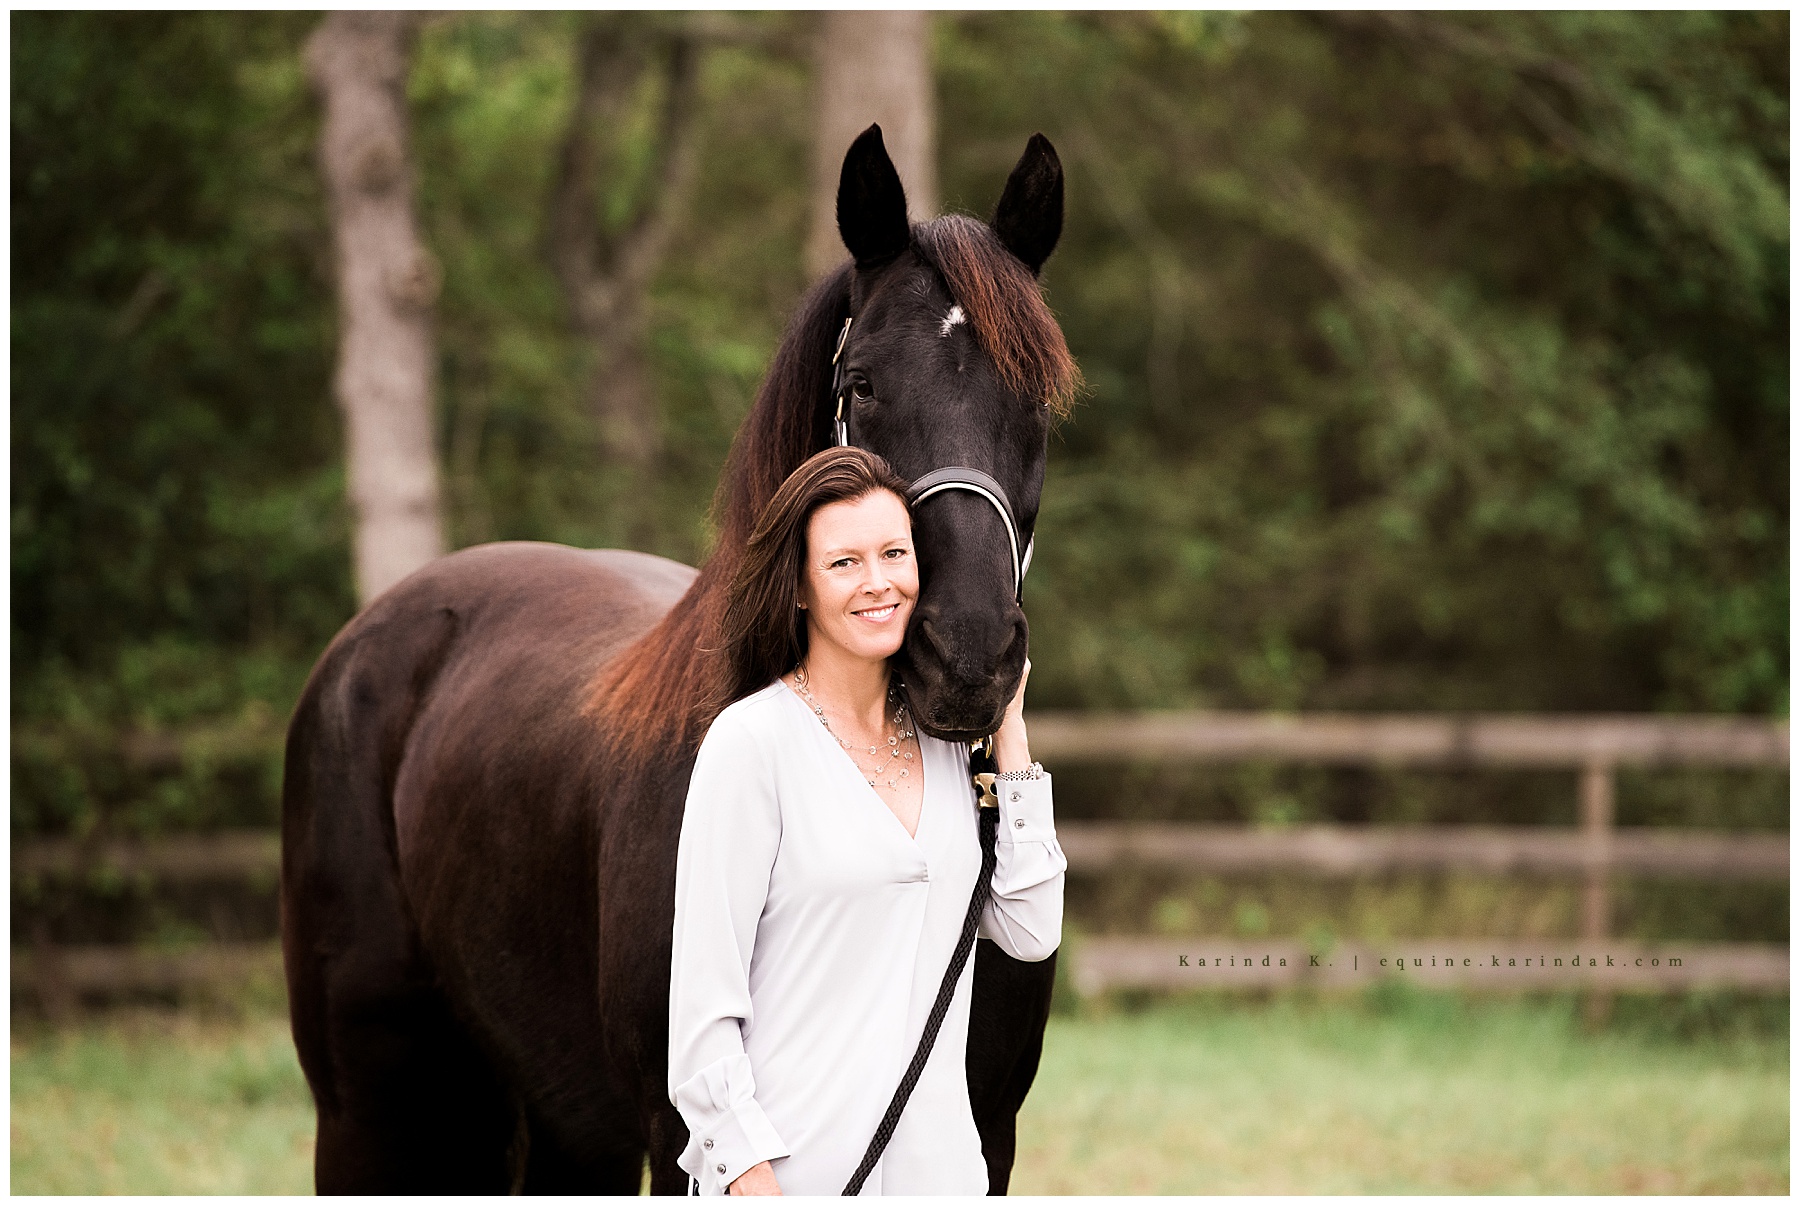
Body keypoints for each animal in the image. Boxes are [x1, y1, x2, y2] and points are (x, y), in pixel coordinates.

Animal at [281, 125, 1080, 1194]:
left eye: (1036, 399)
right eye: (862, 385)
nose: (966, 655)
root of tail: (366, 643)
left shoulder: (989, 1140)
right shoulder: (683, 1131)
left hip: (563, 1124)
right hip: (373, 1112)